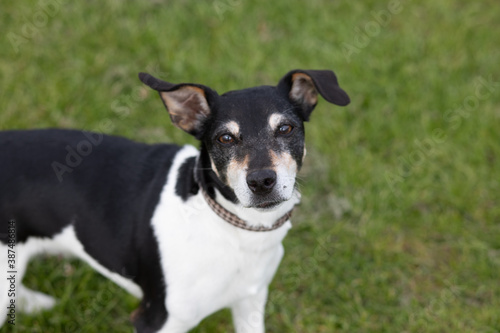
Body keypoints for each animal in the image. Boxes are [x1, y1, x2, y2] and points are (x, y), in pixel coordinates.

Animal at [0, 68, 350, 330]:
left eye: (286, 128)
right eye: (225, 138)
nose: (262, 181)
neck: (233, 229)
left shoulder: (250, 301)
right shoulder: (157, 319)